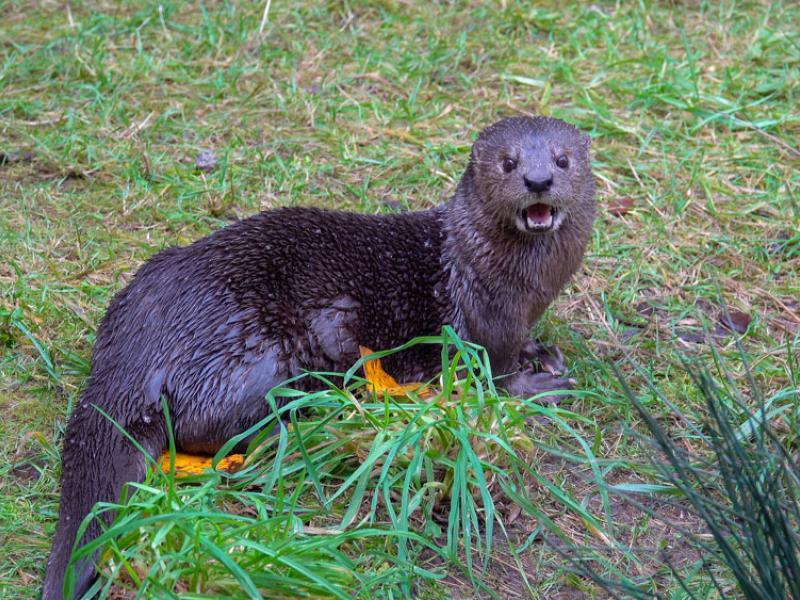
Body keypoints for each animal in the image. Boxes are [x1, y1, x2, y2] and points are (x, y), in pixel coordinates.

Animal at [42, 115, 592, 596]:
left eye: (562, 160)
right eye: (508, 162)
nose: (538, 180)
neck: (513, 282)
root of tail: (133, 352)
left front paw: (540, 350)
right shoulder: (482, 323)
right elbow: (491, 375)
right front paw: (538, 385)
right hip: (257, 360)